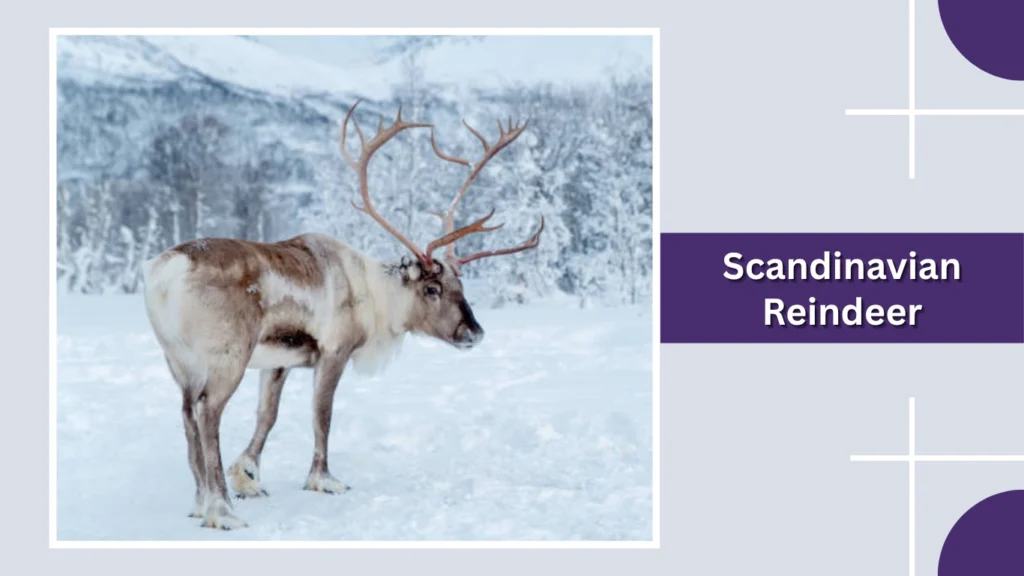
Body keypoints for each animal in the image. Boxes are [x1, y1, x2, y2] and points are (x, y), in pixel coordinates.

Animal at [141, 100, 544, 530]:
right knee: (208, 413)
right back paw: (221, 511)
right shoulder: (334, 351)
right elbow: (322, 415)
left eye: (460, 285)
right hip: (226, 357)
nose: (474, 332)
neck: (374, 296)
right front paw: (323, 480)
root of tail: (163, 273)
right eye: (432, 288)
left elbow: (268, 415)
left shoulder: (278, 361)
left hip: (179, 361)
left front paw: (248, 475)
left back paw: (200, 502)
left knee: (187, 415)